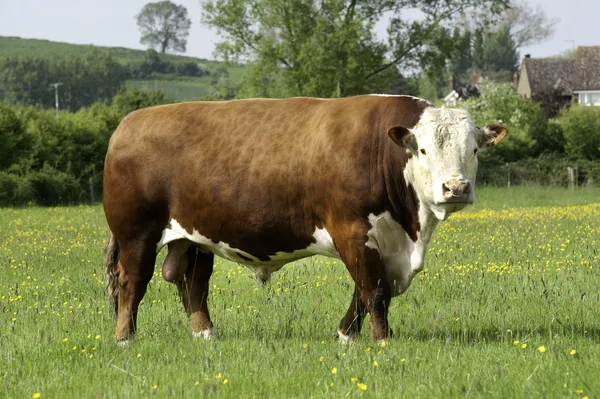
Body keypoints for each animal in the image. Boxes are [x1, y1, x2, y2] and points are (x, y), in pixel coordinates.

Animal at [102, 95, 506, 346]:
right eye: (422, 149)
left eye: (474, 149)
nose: (456, 188)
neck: (410, 231)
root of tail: (128, 123)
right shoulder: (353, 232)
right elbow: (373, 289)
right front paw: (381, 341)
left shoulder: (387, 244)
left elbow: (369, 290)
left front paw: (346, 336)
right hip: (137, 233)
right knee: (132, 282)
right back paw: (124, 339)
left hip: (196, 237)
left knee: (194, 284)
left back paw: (206, 335)